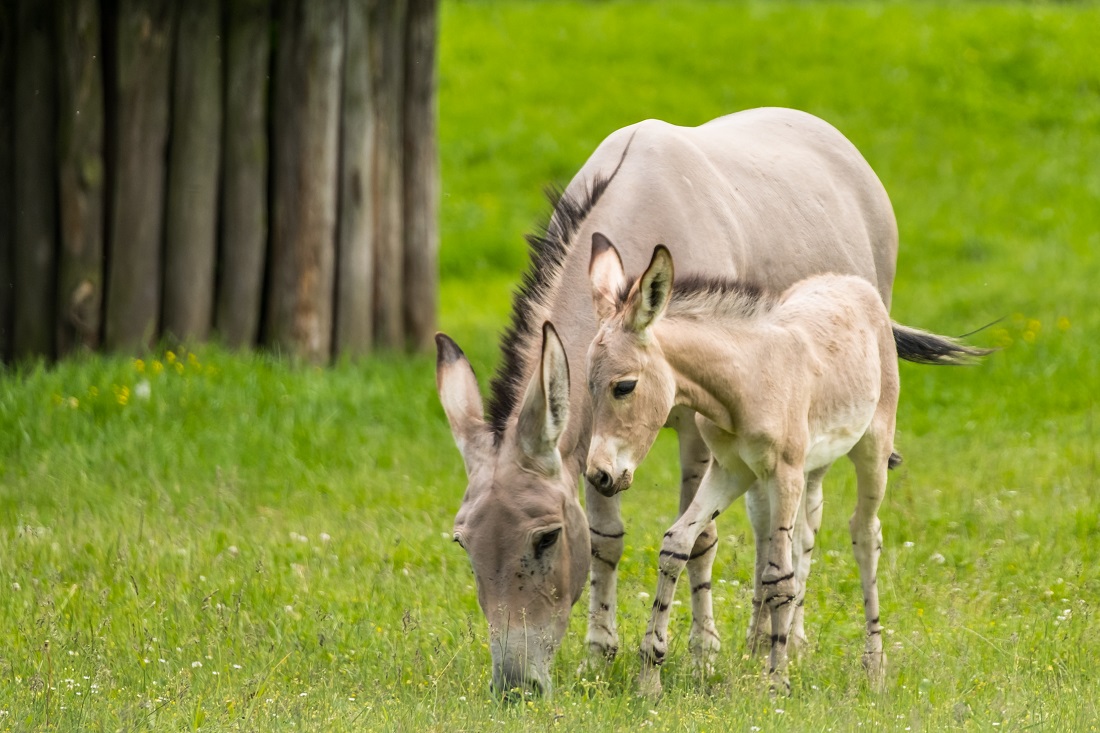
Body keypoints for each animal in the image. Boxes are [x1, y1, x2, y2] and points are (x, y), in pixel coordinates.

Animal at [585, 236, 990, 695]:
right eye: (588, 385)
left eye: (624, 386)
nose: (599, 476)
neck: (744, 381)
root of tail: (851, 282)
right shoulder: (730, 470)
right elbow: (677, 544)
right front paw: (649, 676)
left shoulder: (783, 473)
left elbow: (779, 577)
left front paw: (776, 683)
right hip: (803, 471)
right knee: (805, 533)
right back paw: (786, 645)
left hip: (870, 450)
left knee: (864, 534)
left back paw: (872, 663)